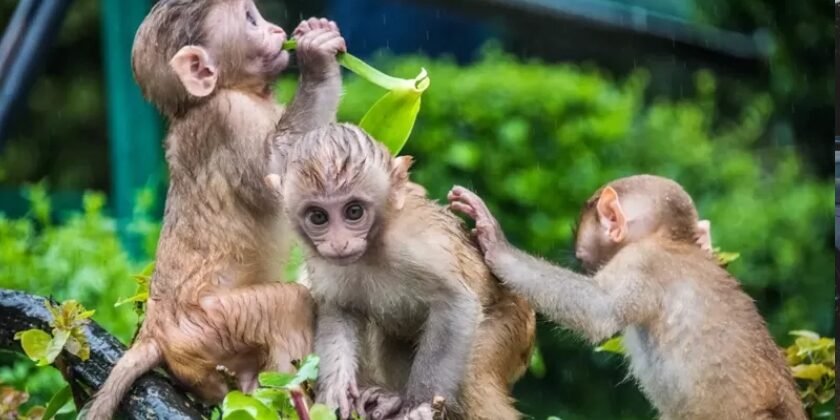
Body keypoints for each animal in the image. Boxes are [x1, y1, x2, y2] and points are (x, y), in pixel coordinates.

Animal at [86, 1, 348, 418]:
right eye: (251, 20)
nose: (277, 30)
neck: (231, 90)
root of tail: (155, 331)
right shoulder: (228, 117)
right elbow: (276, 174)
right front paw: (317, 58)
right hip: (210, 326)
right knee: (289, 304)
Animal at [266, 124, 536, 420]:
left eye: (354, 211)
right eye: (318, 217)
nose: (339, 243)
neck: (372, 248)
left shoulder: (415, 244)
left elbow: (456, 303)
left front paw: (418, 405)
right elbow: (339, 309)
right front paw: (336, 391)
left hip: (510, 325)